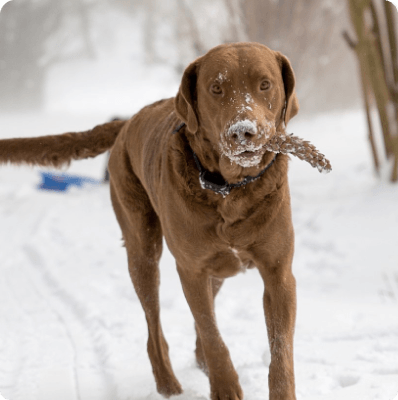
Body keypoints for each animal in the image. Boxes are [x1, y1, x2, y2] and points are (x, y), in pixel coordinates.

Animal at [0, 42, 300, 398]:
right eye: (216, 88)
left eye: (265, 84)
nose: (243, 132)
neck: (229, 190)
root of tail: (128, 120)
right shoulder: (191, 269)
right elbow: (211, 332)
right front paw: (225, 385)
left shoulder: (278, 274)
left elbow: (280, 349)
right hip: (142, 249)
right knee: (153, 327)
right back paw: (168, 383)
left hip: (220, 265)